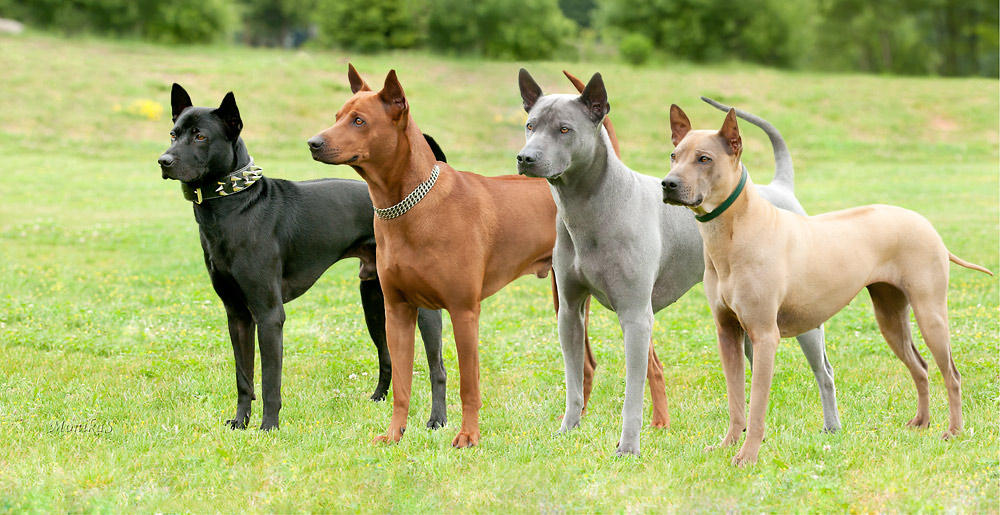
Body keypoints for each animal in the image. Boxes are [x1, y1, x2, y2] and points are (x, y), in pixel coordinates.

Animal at [158, 84, 448, 432]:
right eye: (173, 134)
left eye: (200, 136)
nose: (163, 161)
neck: (236, 206)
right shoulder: (237, 315)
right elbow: (244, 378)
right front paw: (241, 422)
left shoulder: (269, 315)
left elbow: (270, 380)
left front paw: (268, 427)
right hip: (374, 301)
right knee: (388, 356)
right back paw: (380, 400)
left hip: (422, 310)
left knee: (438, 367)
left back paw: (437, 420)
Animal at [512, 68, 840, 456]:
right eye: (530, 125)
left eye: (564, 129)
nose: (525, 158)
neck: (592, 206)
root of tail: (780, 188)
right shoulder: (570, 313)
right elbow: (574, 381)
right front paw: (568, 430)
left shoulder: (636, 317)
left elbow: (634, 392)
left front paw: (628, 448)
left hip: (802, 320)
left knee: (825, 371)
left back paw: (831, 429)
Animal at [664, 103, 992, 466]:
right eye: (674, 155)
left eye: (704, 159)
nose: (667, 184)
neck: (733, 232)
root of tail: (927, 225)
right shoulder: (727, 333)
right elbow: (736, 401)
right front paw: (727, 445)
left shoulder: (765, 336)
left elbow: (757, 406)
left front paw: (747, 456)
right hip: (890, 317)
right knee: (920, 366)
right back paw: (921, 422)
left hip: (930, 313)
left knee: (952, 374)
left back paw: (953, 431)